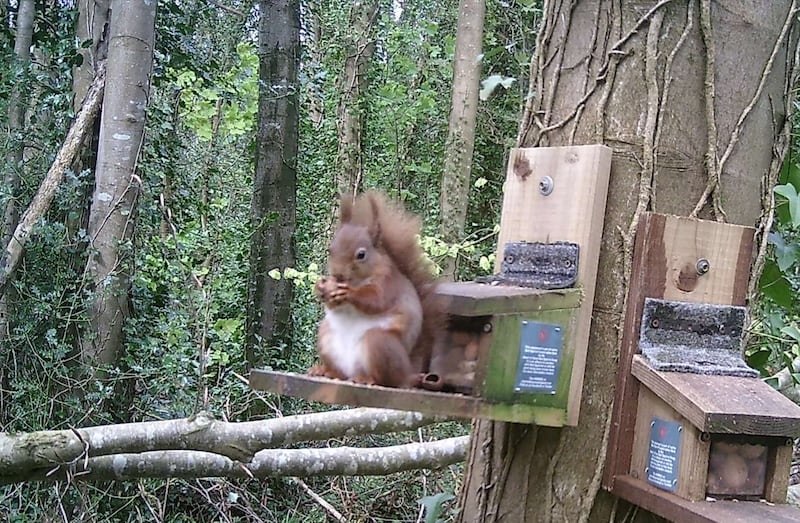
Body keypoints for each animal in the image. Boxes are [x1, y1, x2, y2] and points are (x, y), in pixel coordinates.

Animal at [309, 191, 444, 388]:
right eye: (329, 250)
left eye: (361, 255)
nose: (338, 275)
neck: (358, 281)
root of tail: (407, 372)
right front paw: (321, 287)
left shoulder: (388, 284)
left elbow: (375, 300)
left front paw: (349, 293)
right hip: (326, 337)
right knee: (340, 373)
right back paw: (325, 371)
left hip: (379, 343)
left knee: (386, 380)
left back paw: (368, 379)